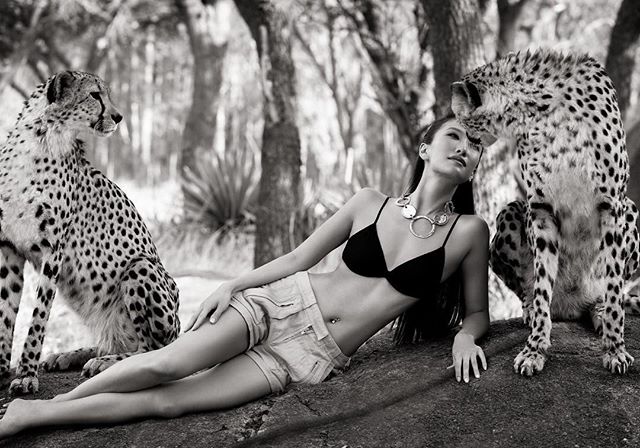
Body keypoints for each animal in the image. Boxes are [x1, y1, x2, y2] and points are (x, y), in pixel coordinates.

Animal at [0, 70, 180, 394]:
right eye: (95, 94)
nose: (119, 116)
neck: (40, 140)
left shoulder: (53, 251)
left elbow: (38, 317)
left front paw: (26, 374)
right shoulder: (8, 248)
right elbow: (5, 315)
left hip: (141, 267)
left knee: (151, 349)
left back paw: (104, 362)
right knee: (113, 342)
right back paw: (69, 355)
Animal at [451, 49, 640, 376]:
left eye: (461, 119)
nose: (465, 142)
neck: (542, 108)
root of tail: (572, 307)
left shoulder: (612, 205)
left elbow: (615, 290)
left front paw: (615, 349)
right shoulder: (540, 210)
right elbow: (540, 288)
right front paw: (534, 348)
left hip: (630, 210)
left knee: (607, 292)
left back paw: (599, 309)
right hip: (510, 211)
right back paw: (530, 308)